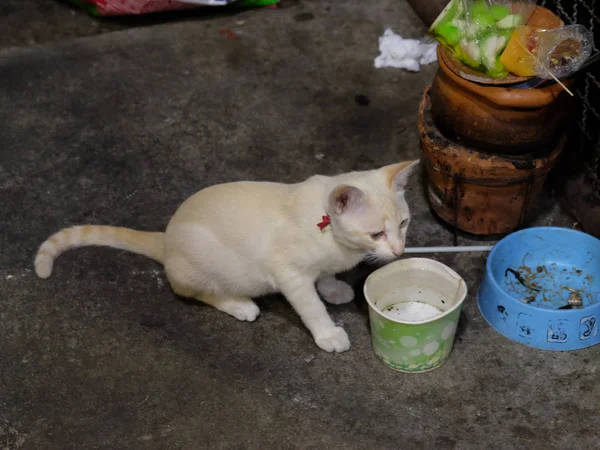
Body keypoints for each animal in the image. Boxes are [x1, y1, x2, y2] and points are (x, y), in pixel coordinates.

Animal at [35, 160, 420, 354]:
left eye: (403, 224)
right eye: (376, 234)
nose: (399, 250)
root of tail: (167, 237)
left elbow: (324, 276)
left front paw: (333, 287)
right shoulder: (289, 275)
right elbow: (311, 307)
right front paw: (327, 333)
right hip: (202, 264)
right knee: (193, 291)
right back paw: (240, 305)